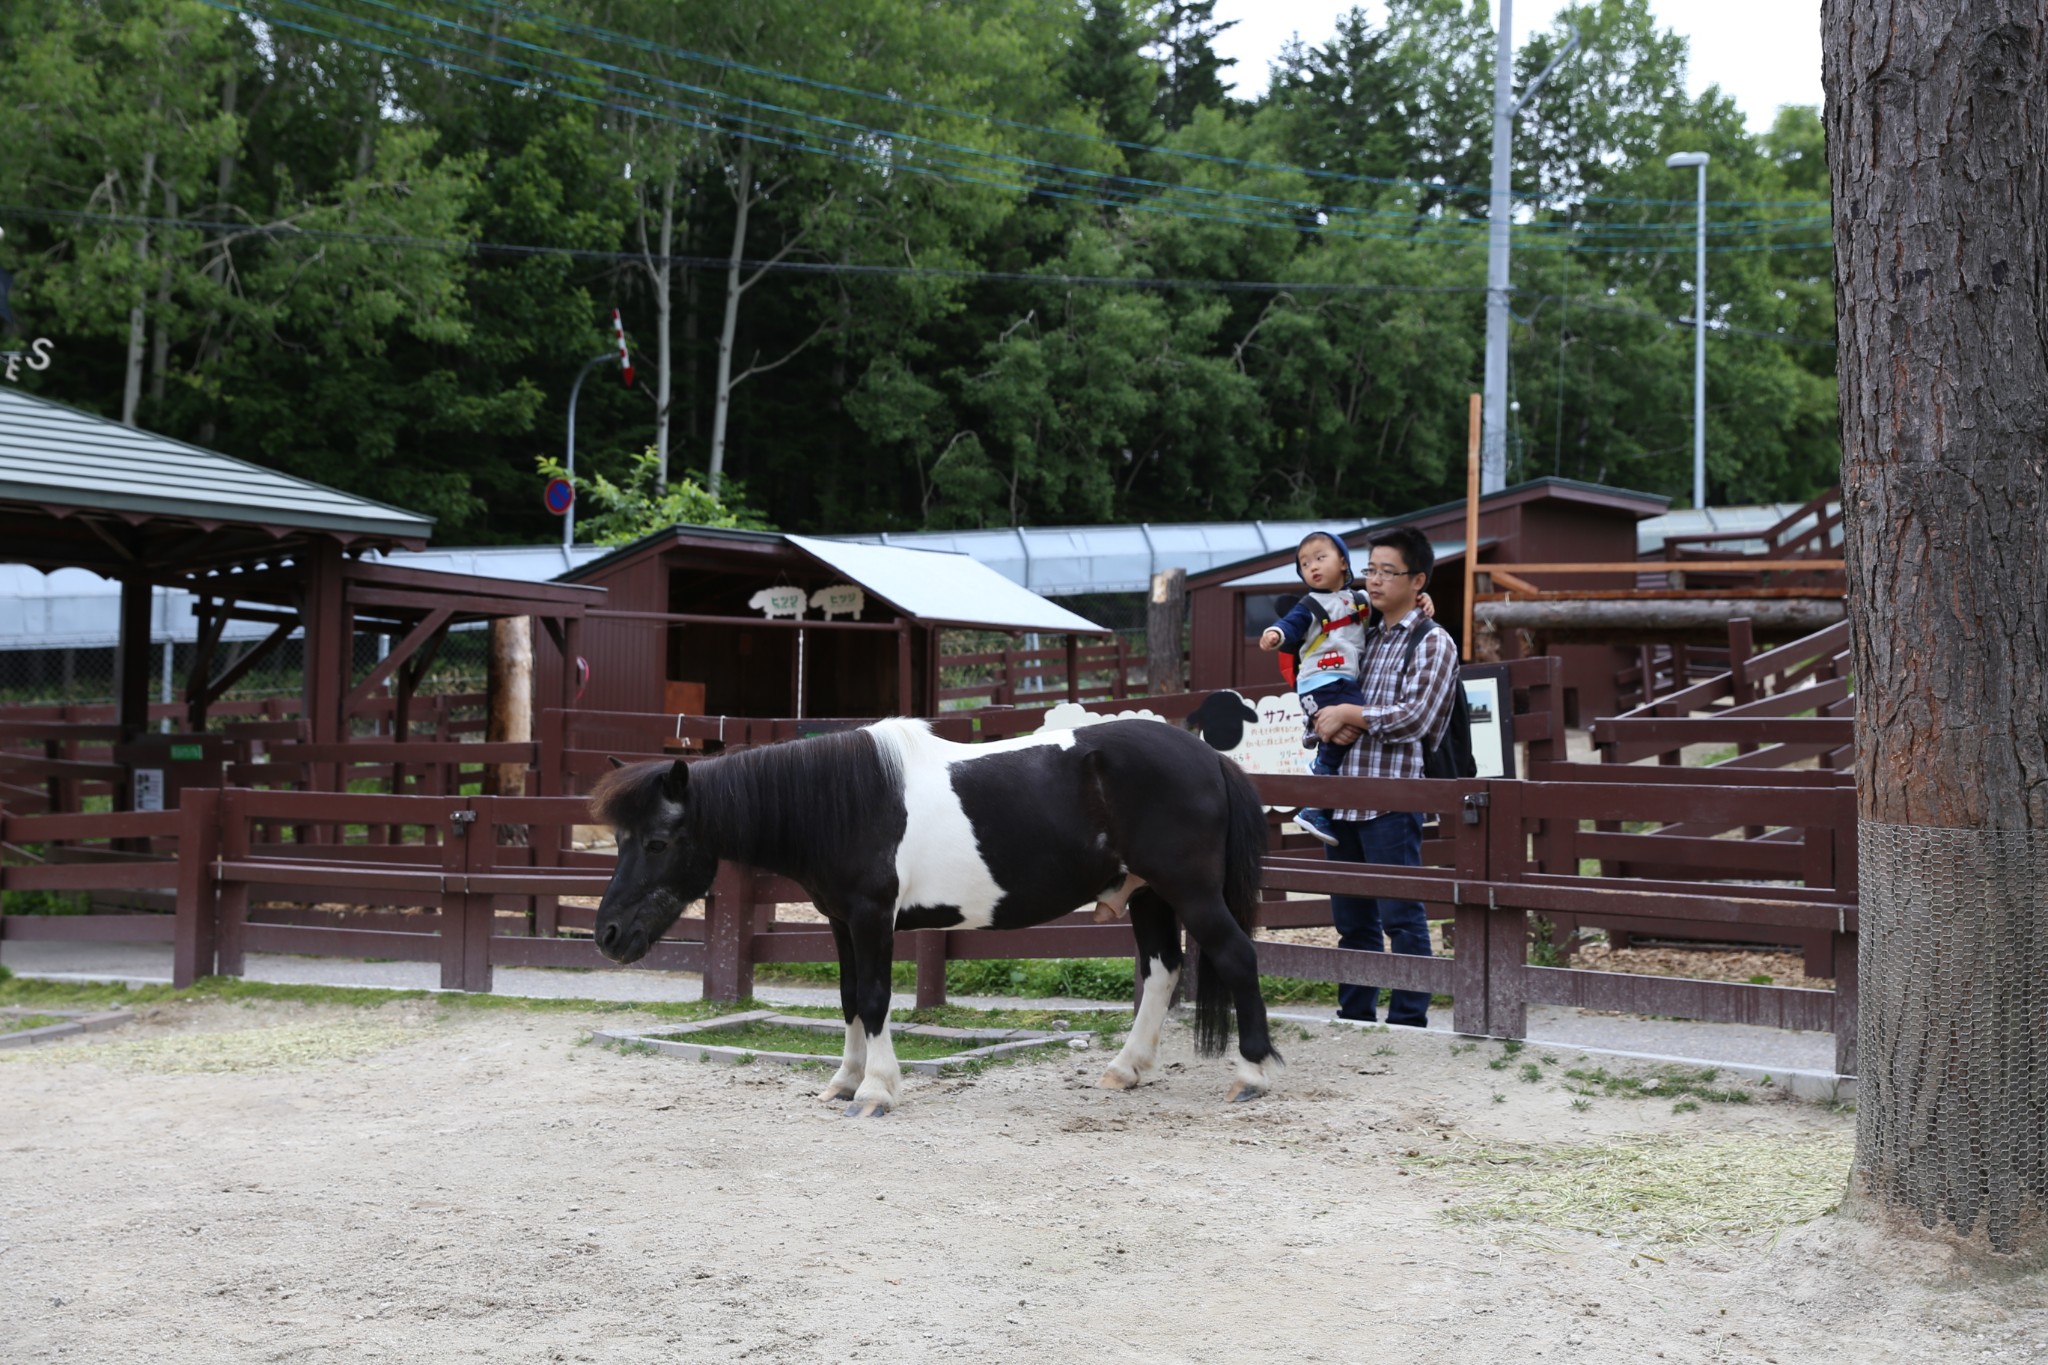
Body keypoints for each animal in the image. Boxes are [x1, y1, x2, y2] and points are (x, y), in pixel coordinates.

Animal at [585, 720, 1277, 1113]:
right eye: (620, 839)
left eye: (657, 843)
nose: (607, 935)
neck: (845, 802)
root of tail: (1211, 758)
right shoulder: (840, 921)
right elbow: (848, 999)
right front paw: (844, 1081)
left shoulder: (872, 917)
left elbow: (874, 997)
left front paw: (874, 1091)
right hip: (1148, 894)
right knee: (1162, 973)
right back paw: (1125, 1071)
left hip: (1188, 891)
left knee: (1237, 957)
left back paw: (1253, 1075)